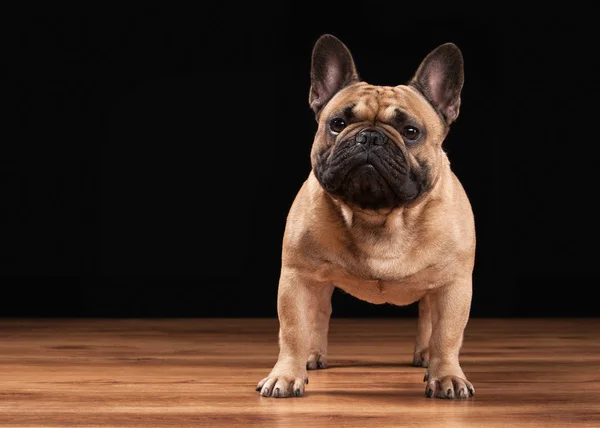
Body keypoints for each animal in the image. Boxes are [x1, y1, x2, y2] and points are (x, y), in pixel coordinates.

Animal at [255, 35, 476, 400]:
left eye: (411, 131)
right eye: (337, 124)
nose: (369, 136)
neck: (379, 215)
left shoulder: (453, 285)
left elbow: (447, 335)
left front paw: (446, 376)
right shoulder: (297, 277)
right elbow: (294, 330)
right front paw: (286, 375)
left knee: (428, 319)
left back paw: (426, 356)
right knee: (318, 315)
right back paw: (312, 355)